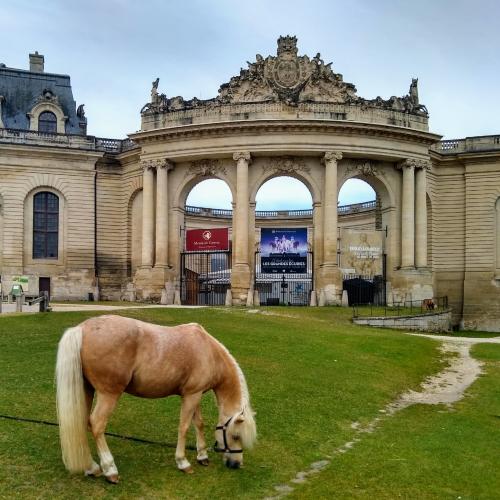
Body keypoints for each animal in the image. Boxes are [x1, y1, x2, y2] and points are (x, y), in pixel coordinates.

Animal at [56, 314, 256, 482]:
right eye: (236, 436)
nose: (236, 464)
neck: (209, 352)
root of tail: (81, 329)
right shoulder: (191, 396)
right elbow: (184, 427)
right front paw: (183, 462)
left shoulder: (194, 394)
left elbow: (198, 423)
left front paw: (202, 456)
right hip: (108, 394)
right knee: (97, 424)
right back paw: (110, 469)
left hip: (86, 390)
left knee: (82, 422)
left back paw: (92, 467)